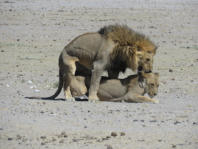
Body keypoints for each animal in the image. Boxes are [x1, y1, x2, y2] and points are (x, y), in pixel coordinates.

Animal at [26, 24, 156, 101]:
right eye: (148, 59)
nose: (150, 71)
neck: (121, 49)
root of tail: (61, 52)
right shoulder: (98, 66)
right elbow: (95, 83)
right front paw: (93, 98)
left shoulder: (113, 69)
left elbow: (111, 80)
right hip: (70, 67)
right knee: (65, 85)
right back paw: (69, 97)